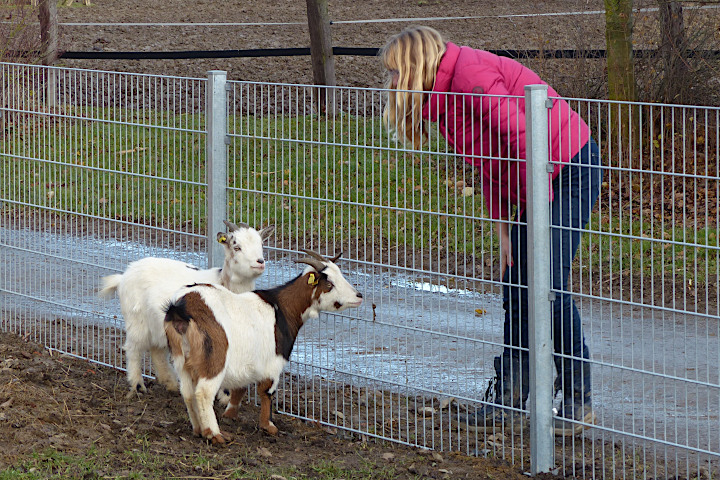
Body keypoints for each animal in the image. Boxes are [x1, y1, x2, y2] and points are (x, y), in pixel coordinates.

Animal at [98, 220, 272, 394]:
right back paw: (138, 385)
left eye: (261, 244)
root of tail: (123, 276)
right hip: (136, 319)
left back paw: (171, 383)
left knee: (156, 350)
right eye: (237, 247)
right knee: (133, 348)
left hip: (158, 324)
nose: (260, 262)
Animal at [165, 251, 362, 442]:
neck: (282, 309)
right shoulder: (273, 363)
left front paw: (231, 414)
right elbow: (266, 391)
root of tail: (180, 308)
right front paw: (268, 426)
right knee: (203, 393)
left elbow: (240, 388)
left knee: (187, 392)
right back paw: (215, 435)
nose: (359, 296)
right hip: (215, 359)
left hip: (181, 359)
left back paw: (198, 430)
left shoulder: (246, 362)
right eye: (329, 283)